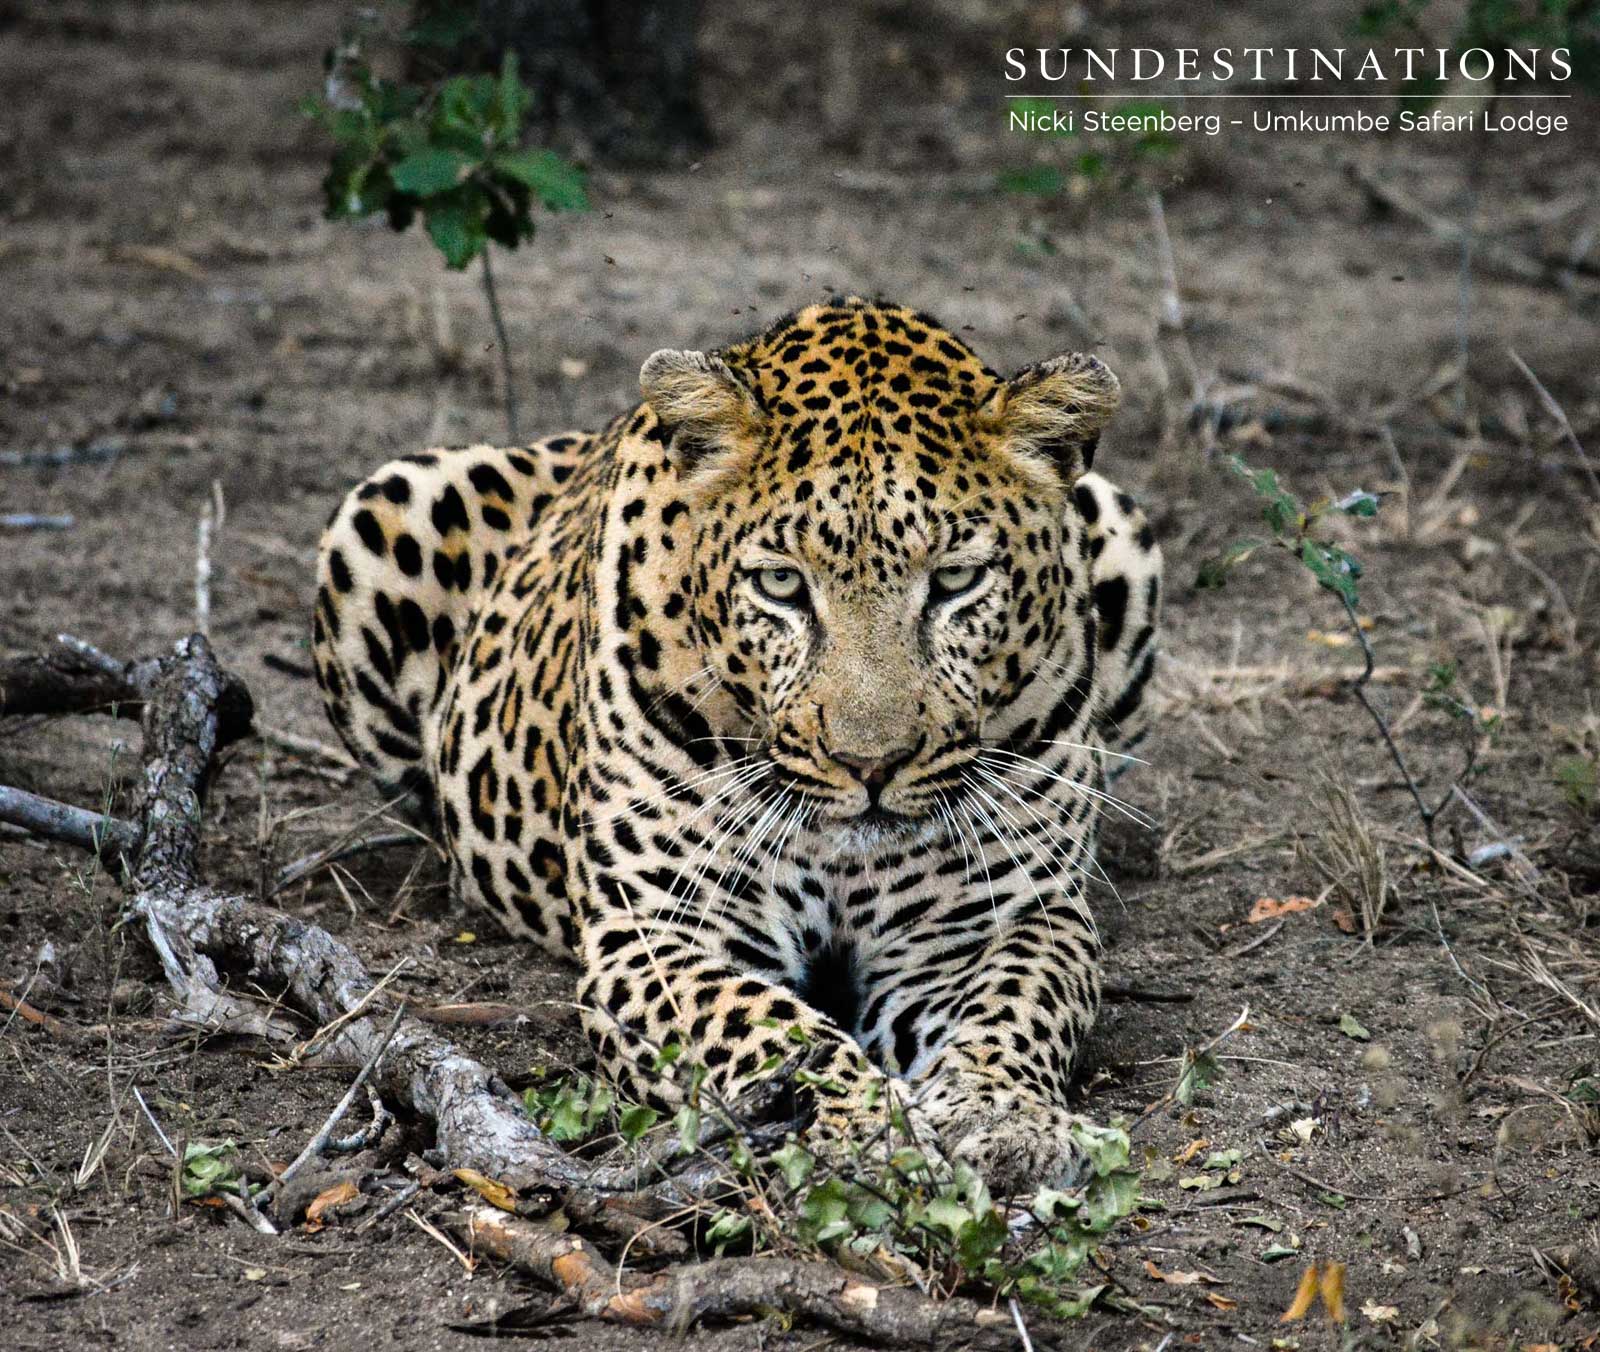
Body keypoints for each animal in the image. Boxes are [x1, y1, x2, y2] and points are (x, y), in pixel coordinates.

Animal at [312, 297, 1161, 1194]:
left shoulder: (1002, 916)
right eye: (782, 584)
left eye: (957, 582)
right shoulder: (661, 932)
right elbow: (771, 1029)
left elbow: (1015, 1004)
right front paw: (870, 1129)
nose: (871, 765)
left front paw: (1003, 1117)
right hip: (384, 506)